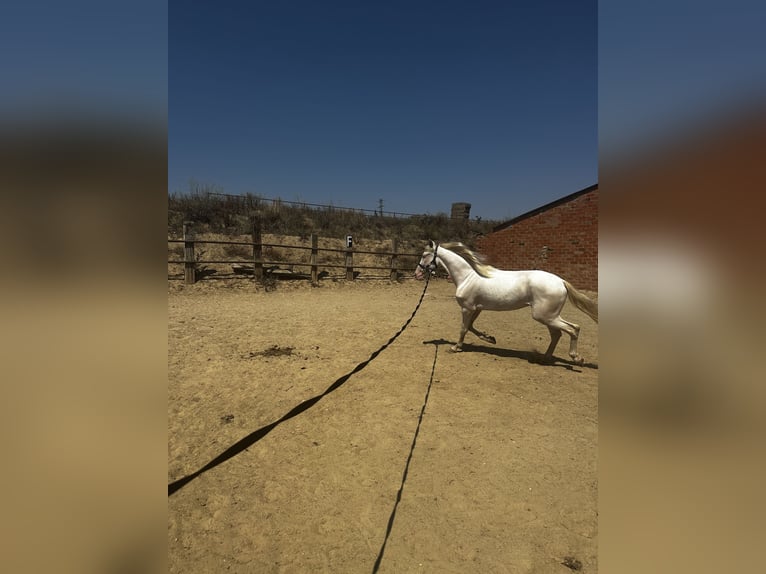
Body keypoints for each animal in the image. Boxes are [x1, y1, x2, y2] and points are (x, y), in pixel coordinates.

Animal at [414, 242, 600, 366]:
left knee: (573, 329)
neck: (467, 276)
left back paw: (576, 358)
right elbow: (472, 327)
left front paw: (455, 348)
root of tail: (561, 282)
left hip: (545, 316)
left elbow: (464, 328)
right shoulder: (477, 308)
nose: (417, 274)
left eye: (424, 255)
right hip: (549, 317)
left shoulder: (467, 308)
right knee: (557, 334)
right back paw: (545, 358)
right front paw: (489, 338)